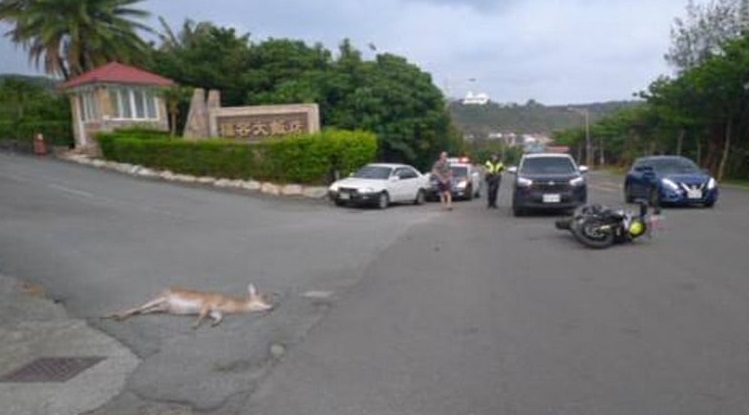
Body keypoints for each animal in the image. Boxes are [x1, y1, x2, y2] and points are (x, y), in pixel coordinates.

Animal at [105, 283, 274, 329]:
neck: (228, 304)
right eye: (264, 298)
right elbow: (202, 314)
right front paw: (195, 324)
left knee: (143, 310)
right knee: (137, 307)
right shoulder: (207, 303)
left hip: (162, 307)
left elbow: (218, 316)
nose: (273, 307)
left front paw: (213, 324)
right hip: (160, 298)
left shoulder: (214, 310)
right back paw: (115, 316)